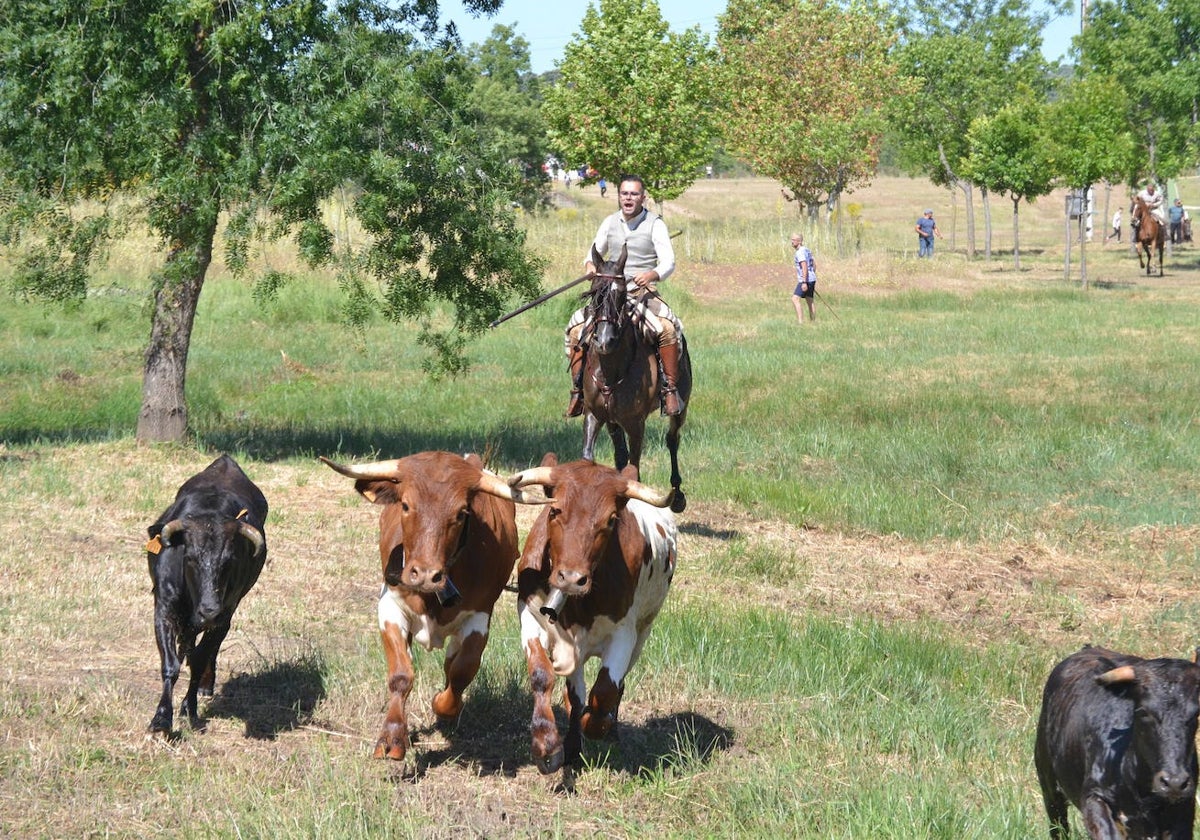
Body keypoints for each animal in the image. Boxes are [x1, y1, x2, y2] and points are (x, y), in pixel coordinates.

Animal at [144, 453, 267, 734]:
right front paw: (161, 719)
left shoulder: (224, 616)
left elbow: (199, 660)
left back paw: (204, 686)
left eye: (229, 560)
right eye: (189, 557)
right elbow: (170, 665)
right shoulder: (164, 609)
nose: (209, 610)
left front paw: (189, 708)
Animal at [578, 244, 691, 511]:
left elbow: (634, 467)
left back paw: (677, 496)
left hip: (679, 410)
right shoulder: (594, 414)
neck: (611, 369)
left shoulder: (635, 424)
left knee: (672, 440)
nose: (604, 341)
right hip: (612, 420)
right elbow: (591, 456)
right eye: (594, 293)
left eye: (620, 295)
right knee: (620, 452)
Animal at [1032, 648, 1200, 835]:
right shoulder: (1094, 798)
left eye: (1196, 714)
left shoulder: (1184, 809)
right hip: (1048, 783)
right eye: (1144, 711)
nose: (1174, 782)